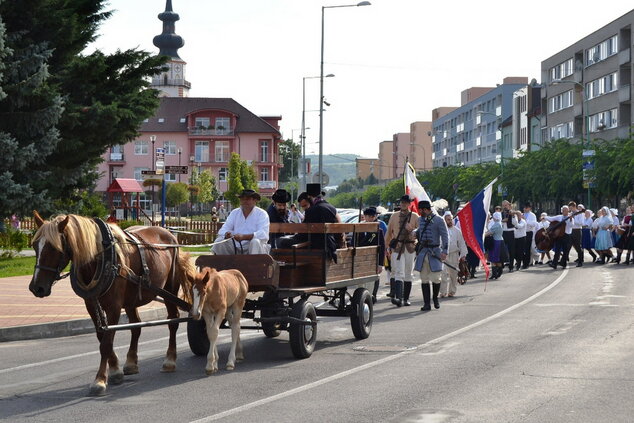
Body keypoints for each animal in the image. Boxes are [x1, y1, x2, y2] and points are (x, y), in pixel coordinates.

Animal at [27, 212, 194, 398]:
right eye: (35, 245)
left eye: (55, 248)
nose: (36, 288)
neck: (101, 257)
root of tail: (169, 234)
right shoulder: (91, 304)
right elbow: (102, 337)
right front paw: (115, 370)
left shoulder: (114, 307)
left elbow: (106, 343)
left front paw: (99, 380)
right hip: (131, 299)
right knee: (136, 326)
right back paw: (131, 362)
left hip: (170, 289)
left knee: (173, 321)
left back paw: (170, 360)